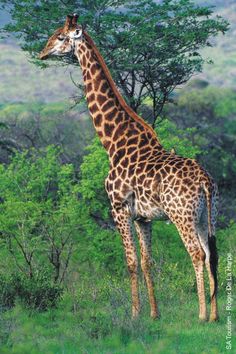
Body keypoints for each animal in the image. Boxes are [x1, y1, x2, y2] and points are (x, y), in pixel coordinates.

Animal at [39, 15, 218, 322]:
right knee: (212, 252)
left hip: (181, 215)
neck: (114, 142)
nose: (42, 53)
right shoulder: (143, 218)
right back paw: (217, 315)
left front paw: (135, 314)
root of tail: (205, 182)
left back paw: (202, 315)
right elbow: (147, 262)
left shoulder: (118, 207)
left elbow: (131, 261)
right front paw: (155, 314)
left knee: (196, 253)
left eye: (60, 36)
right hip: (207, 214)